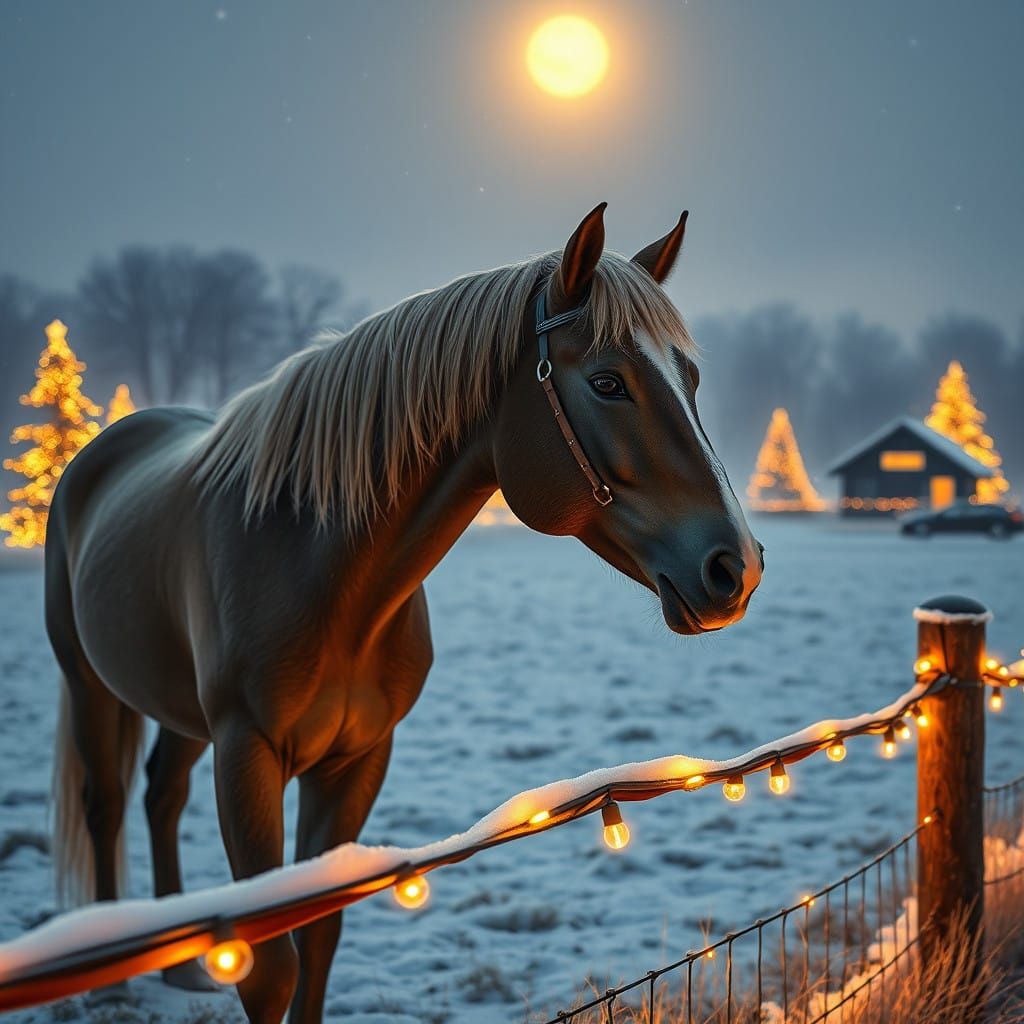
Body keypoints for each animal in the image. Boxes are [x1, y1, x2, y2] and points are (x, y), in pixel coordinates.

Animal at [45, 203, 763, 1023]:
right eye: (609, 382)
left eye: (691, 379)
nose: (735, 568)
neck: (323, 575)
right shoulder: (247, 753)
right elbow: (271, 966)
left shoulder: (357, 759)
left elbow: (319, 937)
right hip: (90, 685)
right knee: (105, 804)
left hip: (178, 709)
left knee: (162, 793)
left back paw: (185, 973)